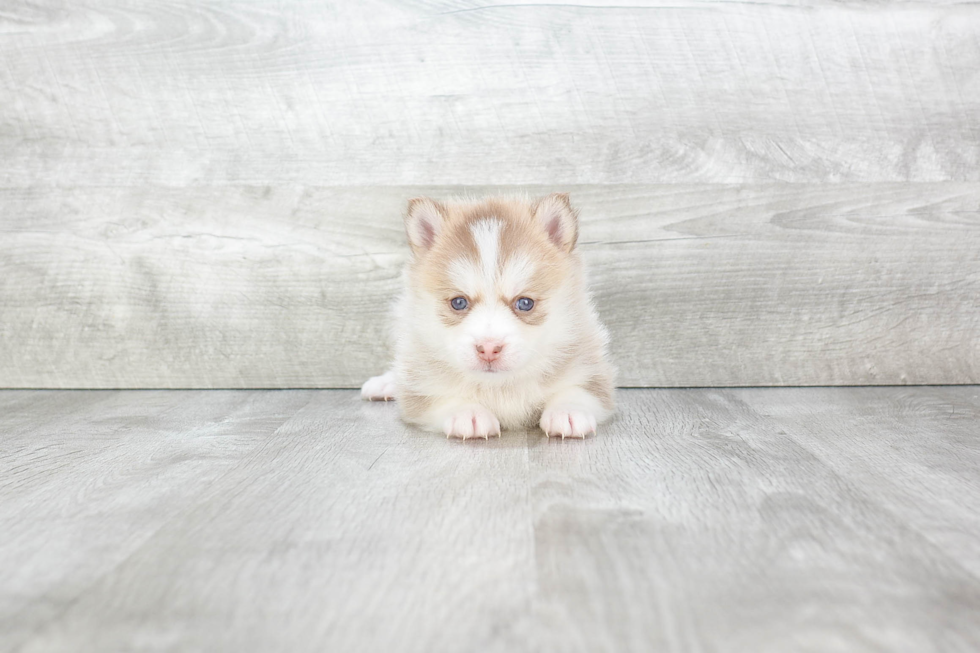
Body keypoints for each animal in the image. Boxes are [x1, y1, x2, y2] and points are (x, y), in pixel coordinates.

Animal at [364, 194, 616, 438]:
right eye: (459, 302)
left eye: (525, 303)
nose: (488, 348)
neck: (501, 386)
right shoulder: (420, 389)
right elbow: (439, 397)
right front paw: (467, 413)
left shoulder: (592, 371)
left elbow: (578, 390)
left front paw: (568, 411)